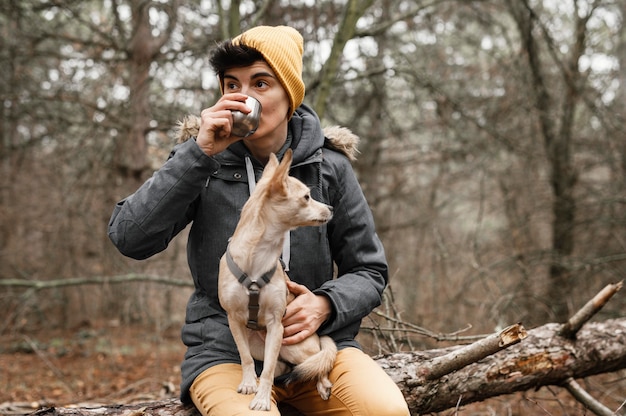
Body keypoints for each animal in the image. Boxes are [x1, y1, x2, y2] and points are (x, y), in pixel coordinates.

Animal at [218, 149, 336, 410]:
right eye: (306, 197)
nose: (331, 207)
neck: (258, 255)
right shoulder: (234, 320)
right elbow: (245, 358)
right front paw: (249, 383)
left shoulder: (276, 324)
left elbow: (269, 370)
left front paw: (262, 399)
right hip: (259, 343)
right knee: (281, 365)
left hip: (295, 346)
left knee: (316, 363)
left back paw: (322, 383)